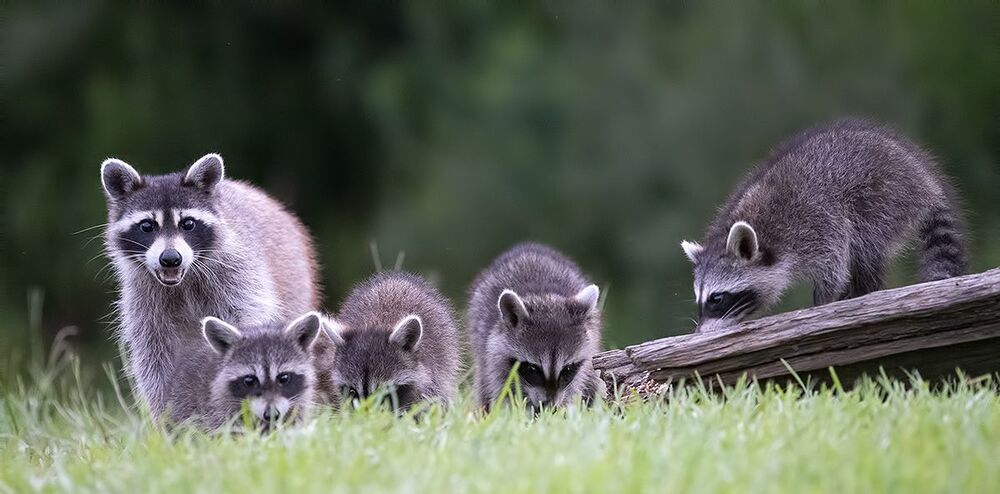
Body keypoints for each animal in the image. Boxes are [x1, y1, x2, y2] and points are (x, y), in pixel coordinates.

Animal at [100, 153, 320, 415]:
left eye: (188, 224)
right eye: (147, 226)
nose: (170, 258)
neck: (182, 281)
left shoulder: (238, 276)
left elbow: (247, 320)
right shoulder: (144, 301)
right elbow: (153, 358)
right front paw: (164, 413)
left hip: (295, 283)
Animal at [323, 271, 461, 411]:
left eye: (385, 391)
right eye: (352, 391)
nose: (367, 416)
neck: (376, 324)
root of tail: (396, 278)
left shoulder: (433, 371)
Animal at [468, 243, 604, 411]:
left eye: (567, 369)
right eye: (533, 368)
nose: (549, 406)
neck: (544, 297)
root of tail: (530, 248)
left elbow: (576, 385)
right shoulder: (494, 354)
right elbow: (500, 388)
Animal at [681, 118, 968, 332]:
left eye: (717, 299)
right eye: (699, 300)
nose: (698, 334)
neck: (765, 234)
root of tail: (922, 175)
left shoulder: (817, 222)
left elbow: (834, 267)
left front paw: (822, 304)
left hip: (883, 194)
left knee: (865, 243)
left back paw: (863, 289)